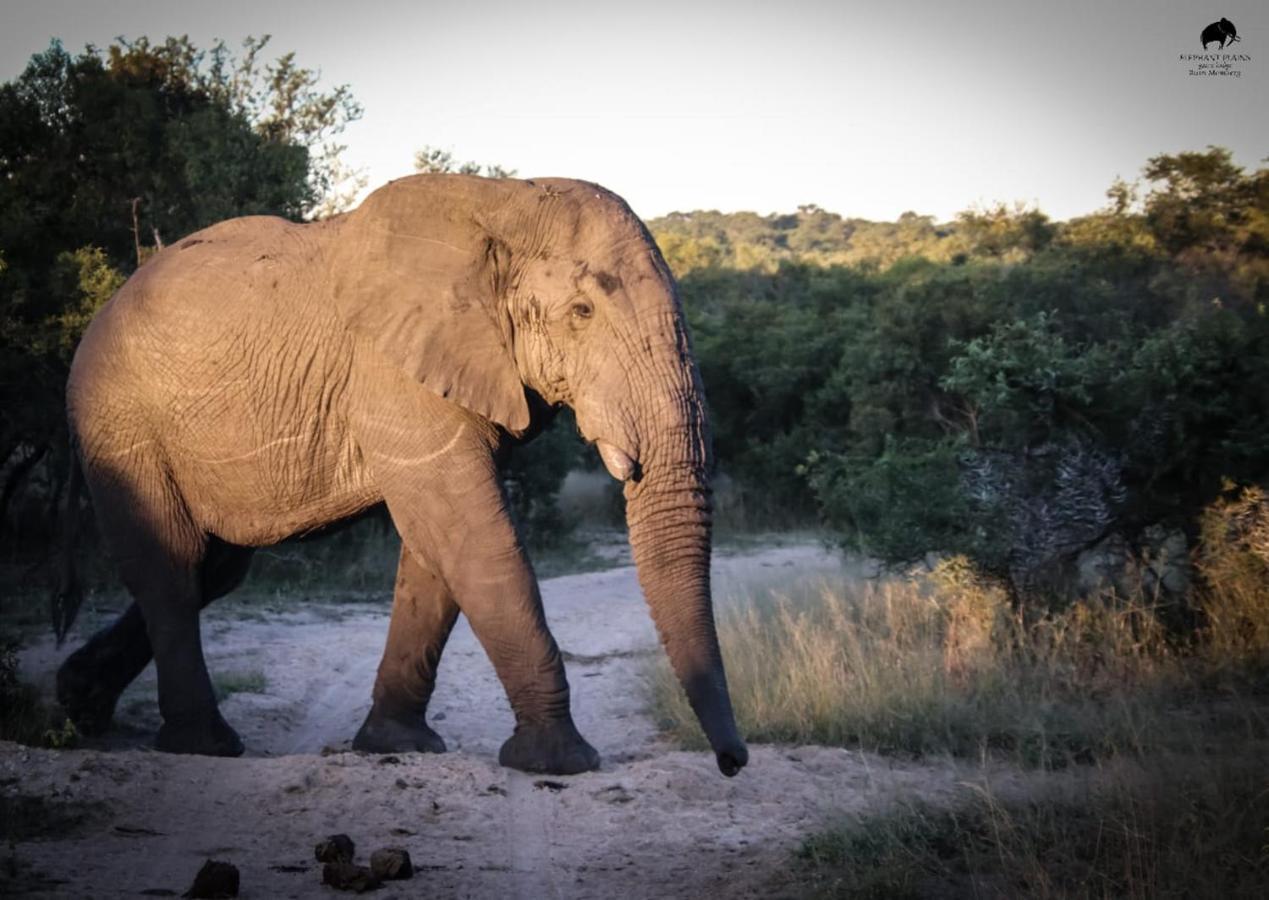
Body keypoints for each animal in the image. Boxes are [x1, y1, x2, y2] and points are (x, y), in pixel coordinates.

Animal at [54, 173, 746, 771]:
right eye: (581, 312)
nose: (733, 761)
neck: (504, 201)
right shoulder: (391, 374)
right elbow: (472, 535)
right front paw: (560, 762)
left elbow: (435, 547)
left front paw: (397, 746)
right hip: (121, 425)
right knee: (170, 565)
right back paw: (203, 746)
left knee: (213, 569)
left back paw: (77, 708)